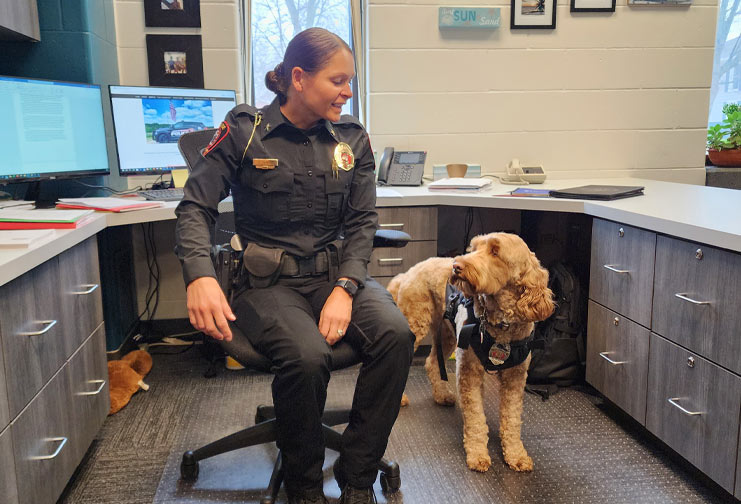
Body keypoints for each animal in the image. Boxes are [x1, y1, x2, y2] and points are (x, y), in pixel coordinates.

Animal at [384, 232, 552, 472]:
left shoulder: (516, 377)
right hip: (415, 325)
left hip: (446, 333)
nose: (456, 266)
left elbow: (512, 419)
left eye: (495, 252)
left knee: (432, 362)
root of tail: (409, 271)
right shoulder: (469, 372)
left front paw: (516, 454)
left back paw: (442, 395)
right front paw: (478, 454)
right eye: (474, 247)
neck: (501, 325)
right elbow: (475, 418)